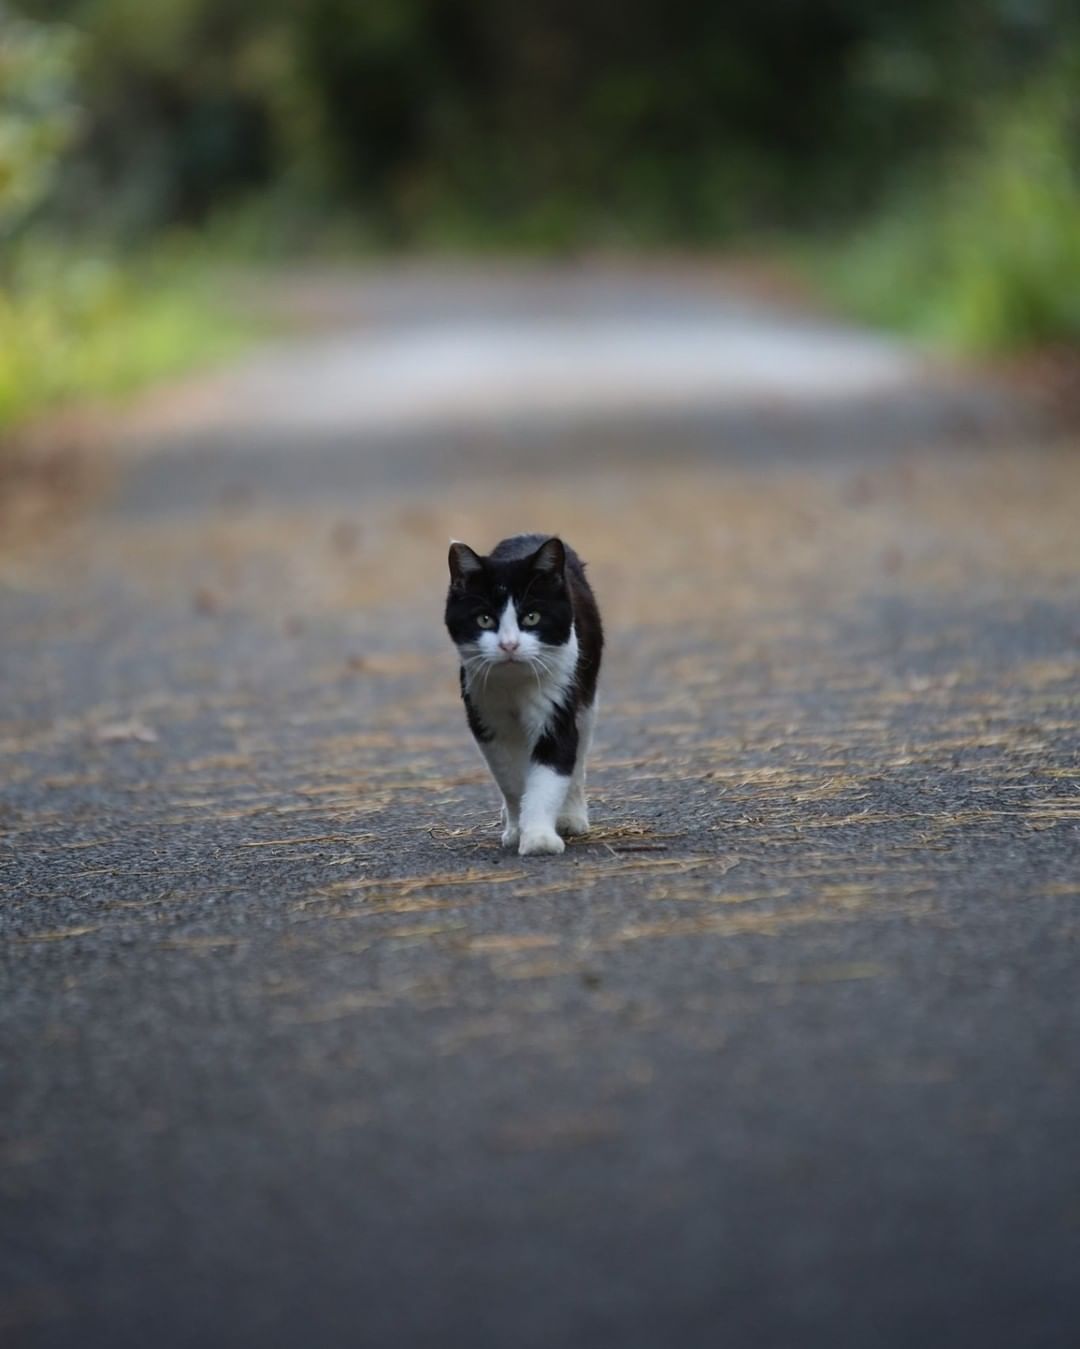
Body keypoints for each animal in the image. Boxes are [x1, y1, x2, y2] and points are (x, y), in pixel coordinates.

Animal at [442, 534, 601, 852]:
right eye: (484, 620)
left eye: (532, 617)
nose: (509, 645)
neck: (513, 683)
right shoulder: (486, 715)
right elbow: (511, 779)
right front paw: (517, 829)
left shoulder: (557, 704)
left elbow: (549, 775)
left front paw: (539, 838)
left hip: (586, 694)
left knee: (579, 758)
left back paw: (571, 817)